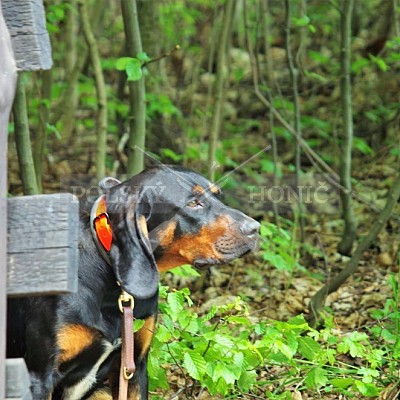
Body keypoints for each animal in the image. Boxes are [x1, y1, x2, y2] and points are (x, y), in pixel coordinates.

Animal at [8, 165, 262, 396]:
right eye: (193, 203)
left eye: (218, 195)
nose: (256, 228)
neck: (112, 288)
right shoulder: (40, 376)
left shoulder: (135, 365)